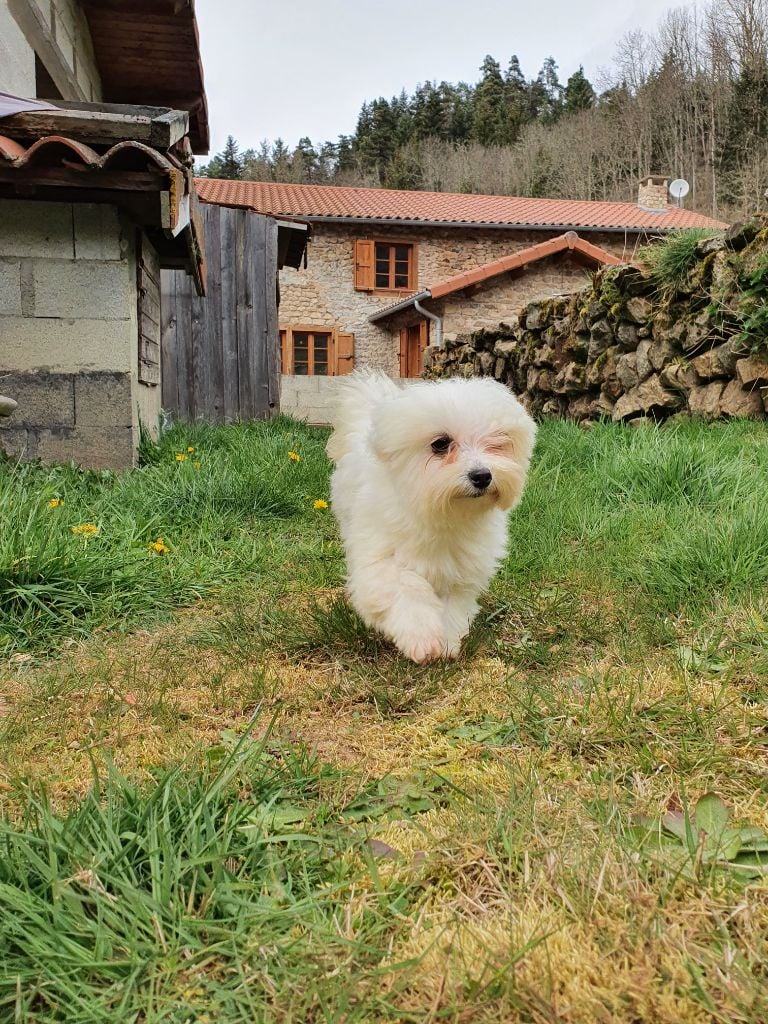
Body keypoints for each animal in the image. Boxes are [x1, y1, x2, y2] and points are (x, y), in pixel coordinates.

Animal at [327, 370, 536, 663]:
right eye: (440, 444)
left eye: (497, 442)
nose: (482, 476)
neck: (443, 514)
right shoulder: (380, 560)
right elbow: (404, 588)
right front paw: (421, 638)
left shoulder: (460, 570)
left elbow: (452, 606)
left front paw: (446, 641)